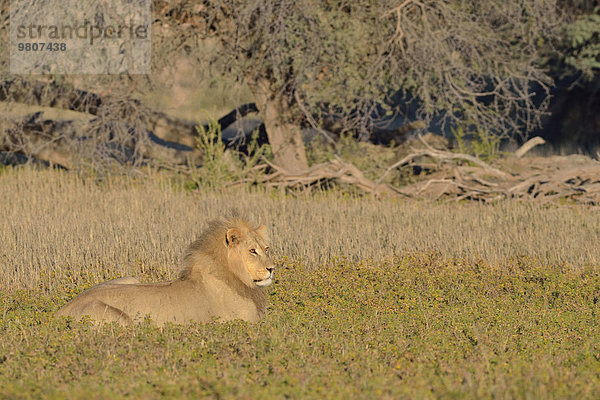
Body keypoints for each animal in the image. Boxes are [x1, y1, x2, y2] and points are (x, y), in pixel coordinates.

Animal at [55, 217, 276, 326]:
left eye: (266, 248)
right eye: (252, 251)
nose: (272, 269)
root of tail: (59, 312)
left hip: (131, 278)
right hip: (120, 320)